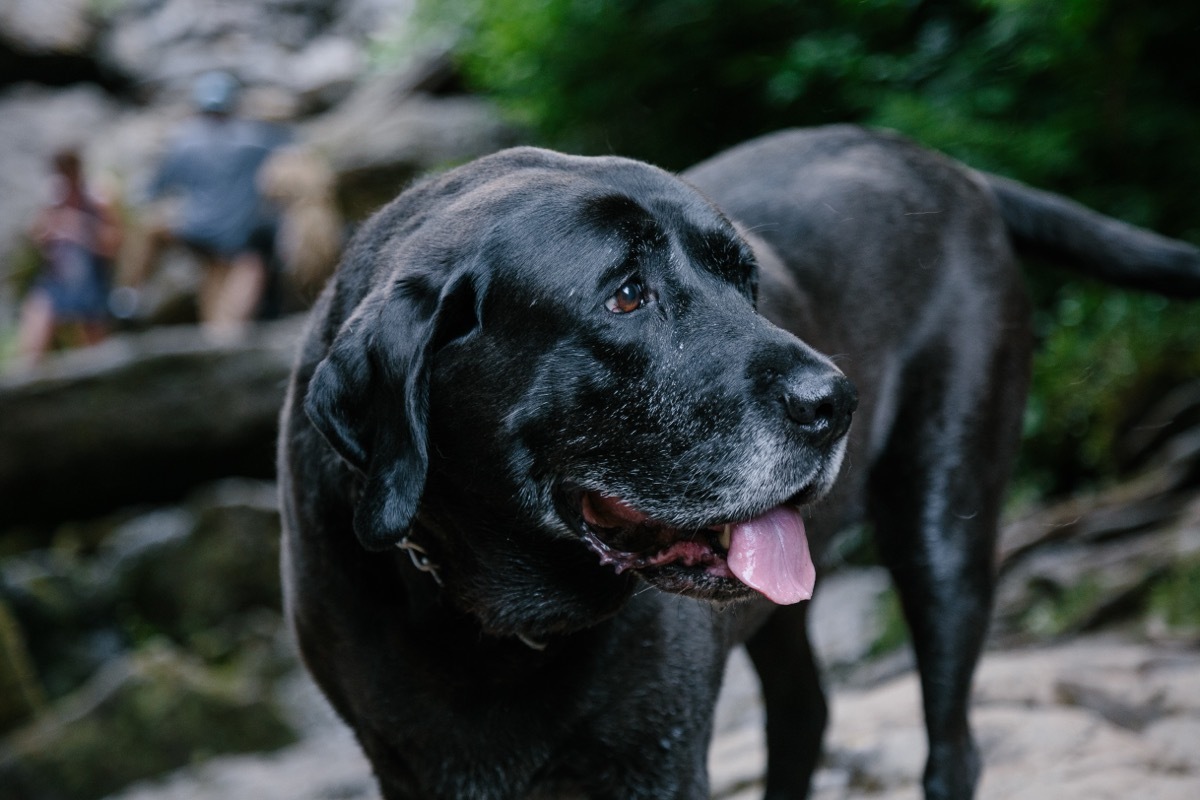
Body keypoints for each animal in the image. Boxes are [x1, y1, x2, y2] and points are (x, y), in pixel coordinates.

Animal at [274, 128, 1200, 796]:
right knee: (805, 715)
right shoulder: (407, 767)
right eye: (626, 294)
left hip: (944, 526)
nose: (836, 402)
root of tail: (943, 163)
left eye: (746, 282)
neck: (490, 624)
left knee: (950, 746)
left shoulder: (657, 756)